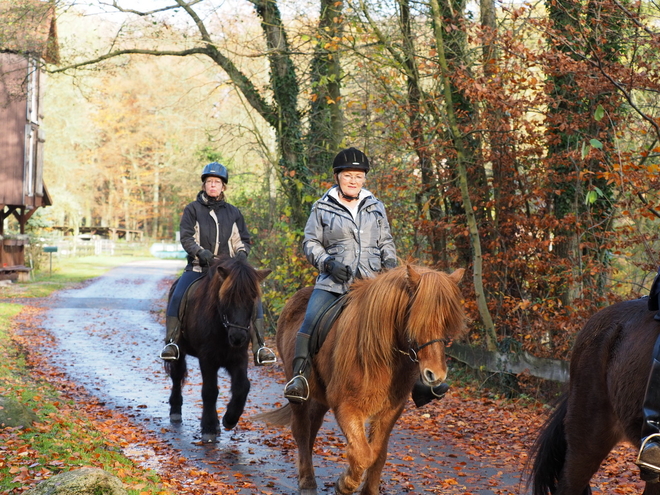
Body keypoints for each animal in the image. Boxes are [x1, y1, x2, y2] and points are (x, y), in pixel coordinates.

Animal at [168, 258, 270, 444]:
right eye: (227, 297)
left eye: (252, 298)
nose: (238, 337)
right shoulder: (207, 359)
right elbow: (209, 391)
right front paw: (209, 428)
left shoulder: (238, 358)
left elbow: (242, 387)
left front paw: (229, 419)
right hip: (179, 349)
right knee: (177, 376)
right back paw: (176, 412)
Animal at [253, 266, 464, 494]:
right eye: (417, 319)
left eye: (447, 322)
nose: (436, 375)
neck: (380, 354)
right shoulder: (347, 407)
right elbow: (363, 453)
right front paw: (344, 484)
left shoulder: (390, 411)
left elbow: (378, 454)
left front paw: (368, 490)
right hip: (298, 393)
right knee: (301, 430)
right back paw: (307, 481)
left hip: (320, 398)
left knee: (312, 428)